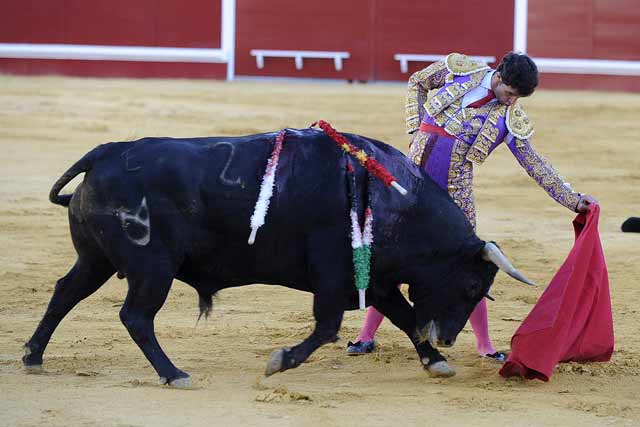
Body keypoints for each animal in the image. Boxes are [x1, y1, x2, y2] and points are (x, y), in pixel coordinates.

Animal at [22, 128, 528, 388]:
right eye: (470, 285)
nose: (447, 338)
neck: (394, 199)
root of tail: (108, 151)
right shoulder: (334, 276)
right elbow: (327, 327)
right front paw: (281, 360)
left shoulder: (376, 278)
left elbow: (402, 316)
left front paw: (435, 361)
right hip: (152, 268)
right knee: (135, 316)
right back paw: (174, 373)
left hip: (97, 260)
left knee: (65, 293)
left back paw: (33, 356)